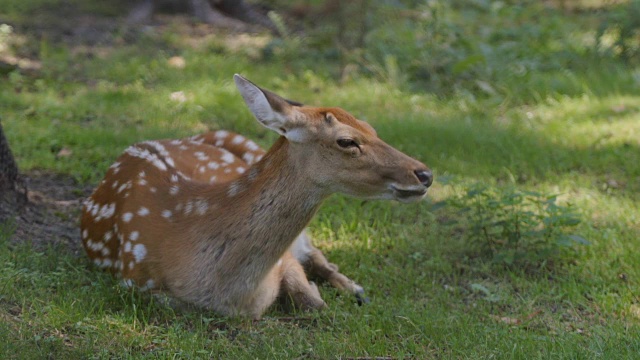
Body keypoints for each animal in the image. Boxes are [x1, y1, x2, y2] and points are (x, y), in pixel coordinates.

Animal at [77, 75, 432, 318]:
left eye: (372, 128)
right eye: (346, 141)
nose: (425, 174)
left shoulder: (285, 259)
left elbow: (313, 304)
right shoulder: (137, 283)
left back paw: (355, 288)